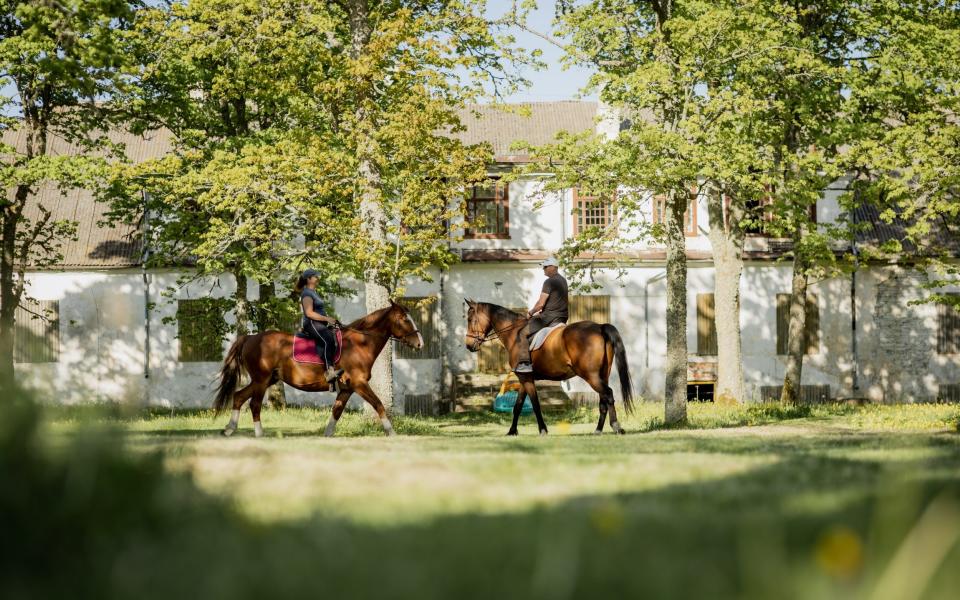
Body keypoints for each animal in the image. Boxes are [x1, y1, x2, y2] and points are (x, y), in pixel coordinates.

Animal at [214, 302, 424, 438]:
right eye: (405, 319)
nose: (420, 343)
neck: (359, 344)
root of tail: (250, 338)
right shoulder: (359, 384)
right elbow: (379, 404)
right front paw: (392, 432)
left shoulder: (347, 389)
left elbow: (337, 410)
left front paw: (327, 434)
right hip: (261, 380)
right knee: (254, 404)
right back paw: (259, 433)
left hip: (267, 380)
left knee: (239, 397)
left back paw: (229, 429)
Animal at [464, 300, 632, 436]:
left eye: (470, 319)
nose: (468, 345)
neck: (513, 333)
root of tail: (599, 327)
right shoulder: (525, 377)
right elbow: (518, 406)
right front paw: (512, 431)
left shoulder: (526, 378)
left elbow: (535, 404)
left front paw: (543, 430)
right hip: (602, 375)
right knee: (603, 399)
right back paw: (598, 430)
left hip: (591, 376)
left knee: (608, 394)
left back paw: (616, 427)